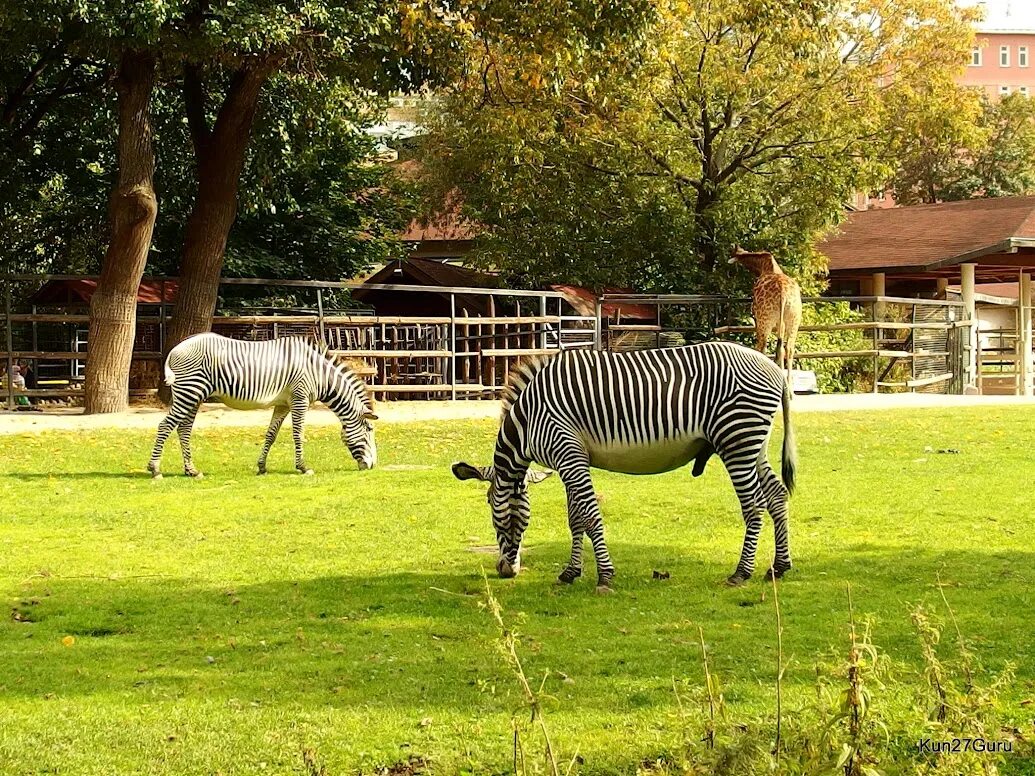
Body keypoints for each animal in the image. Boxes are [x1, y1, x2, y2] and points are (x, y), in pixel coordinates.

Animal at [143, 335, 374, 480]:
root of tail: (175, 349)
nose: (372, 467)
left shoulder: (283, 404)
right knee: (165, 426)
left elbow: (271, 435)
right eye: (369, 431)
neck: (318, 373)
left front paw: (262, 467)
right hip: (189, 392)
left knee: (183, 429)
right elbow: (299, 435)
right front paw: (303, 467)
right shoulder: (299, 399)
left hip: (194, 396)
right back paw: (155, 470)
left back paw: (191, 471)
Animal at [449, 343, 794, 591]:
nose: (506, 571)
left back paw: (741, 573)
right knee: (777, 496)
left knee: (754, 505)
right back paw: (779, 567)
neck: (527, 420)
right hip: (754, 444)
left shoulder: (567, 452)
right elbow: (576, 519)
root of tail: (776, 369)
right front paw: (570, 572)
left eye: (490, 509)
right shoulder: (569, 459)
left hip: (737, 440)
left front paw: (604, 577)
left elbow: (590, 516)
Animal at [728, 246, 799, 374]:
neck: (764, 267)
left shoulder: (757, 318)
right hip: (794, 320)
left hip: (765, 320)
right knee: (788, 348)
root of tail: (783, 294)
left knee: (763, 346)